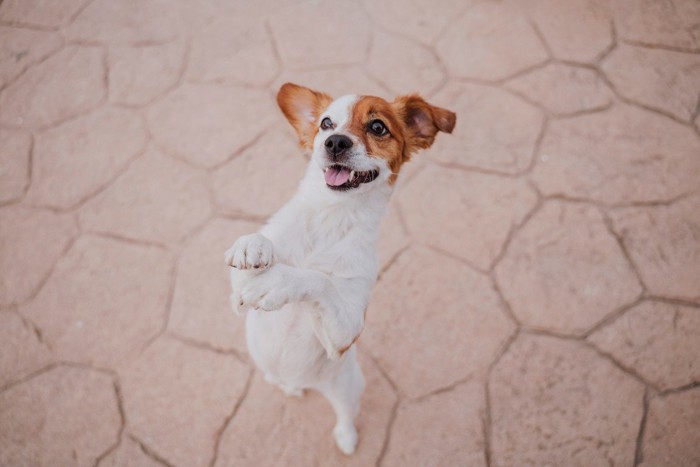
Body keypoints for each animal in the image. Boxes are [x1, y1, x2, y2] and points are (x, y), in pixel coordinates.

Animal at [224, 82, 454, 456]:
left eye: (377, 127)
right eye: (326, 124)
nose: (335, 142)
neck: (331, 216)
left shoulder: (346, 330)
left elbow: (319, 280)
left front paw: (281, 282)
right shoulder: (237, 295)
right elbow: (256, 254)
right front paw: (253, 245)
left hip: (348, 386)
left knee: (344, 414)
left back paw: (346, 437)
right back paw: (288, 386)